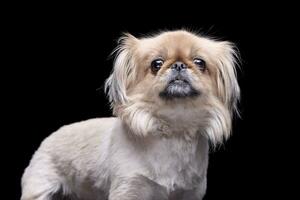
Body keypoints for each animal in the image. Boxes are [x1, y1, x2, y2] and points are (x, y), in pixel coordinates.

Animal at [21, 29, 240, 200]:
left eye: (199, 62)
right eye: (156, 64)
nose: (178, 64)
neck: (173, 128)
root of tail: (47, 139)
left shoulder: (189, 193)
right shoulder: (129, 188)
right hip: (39, 187)